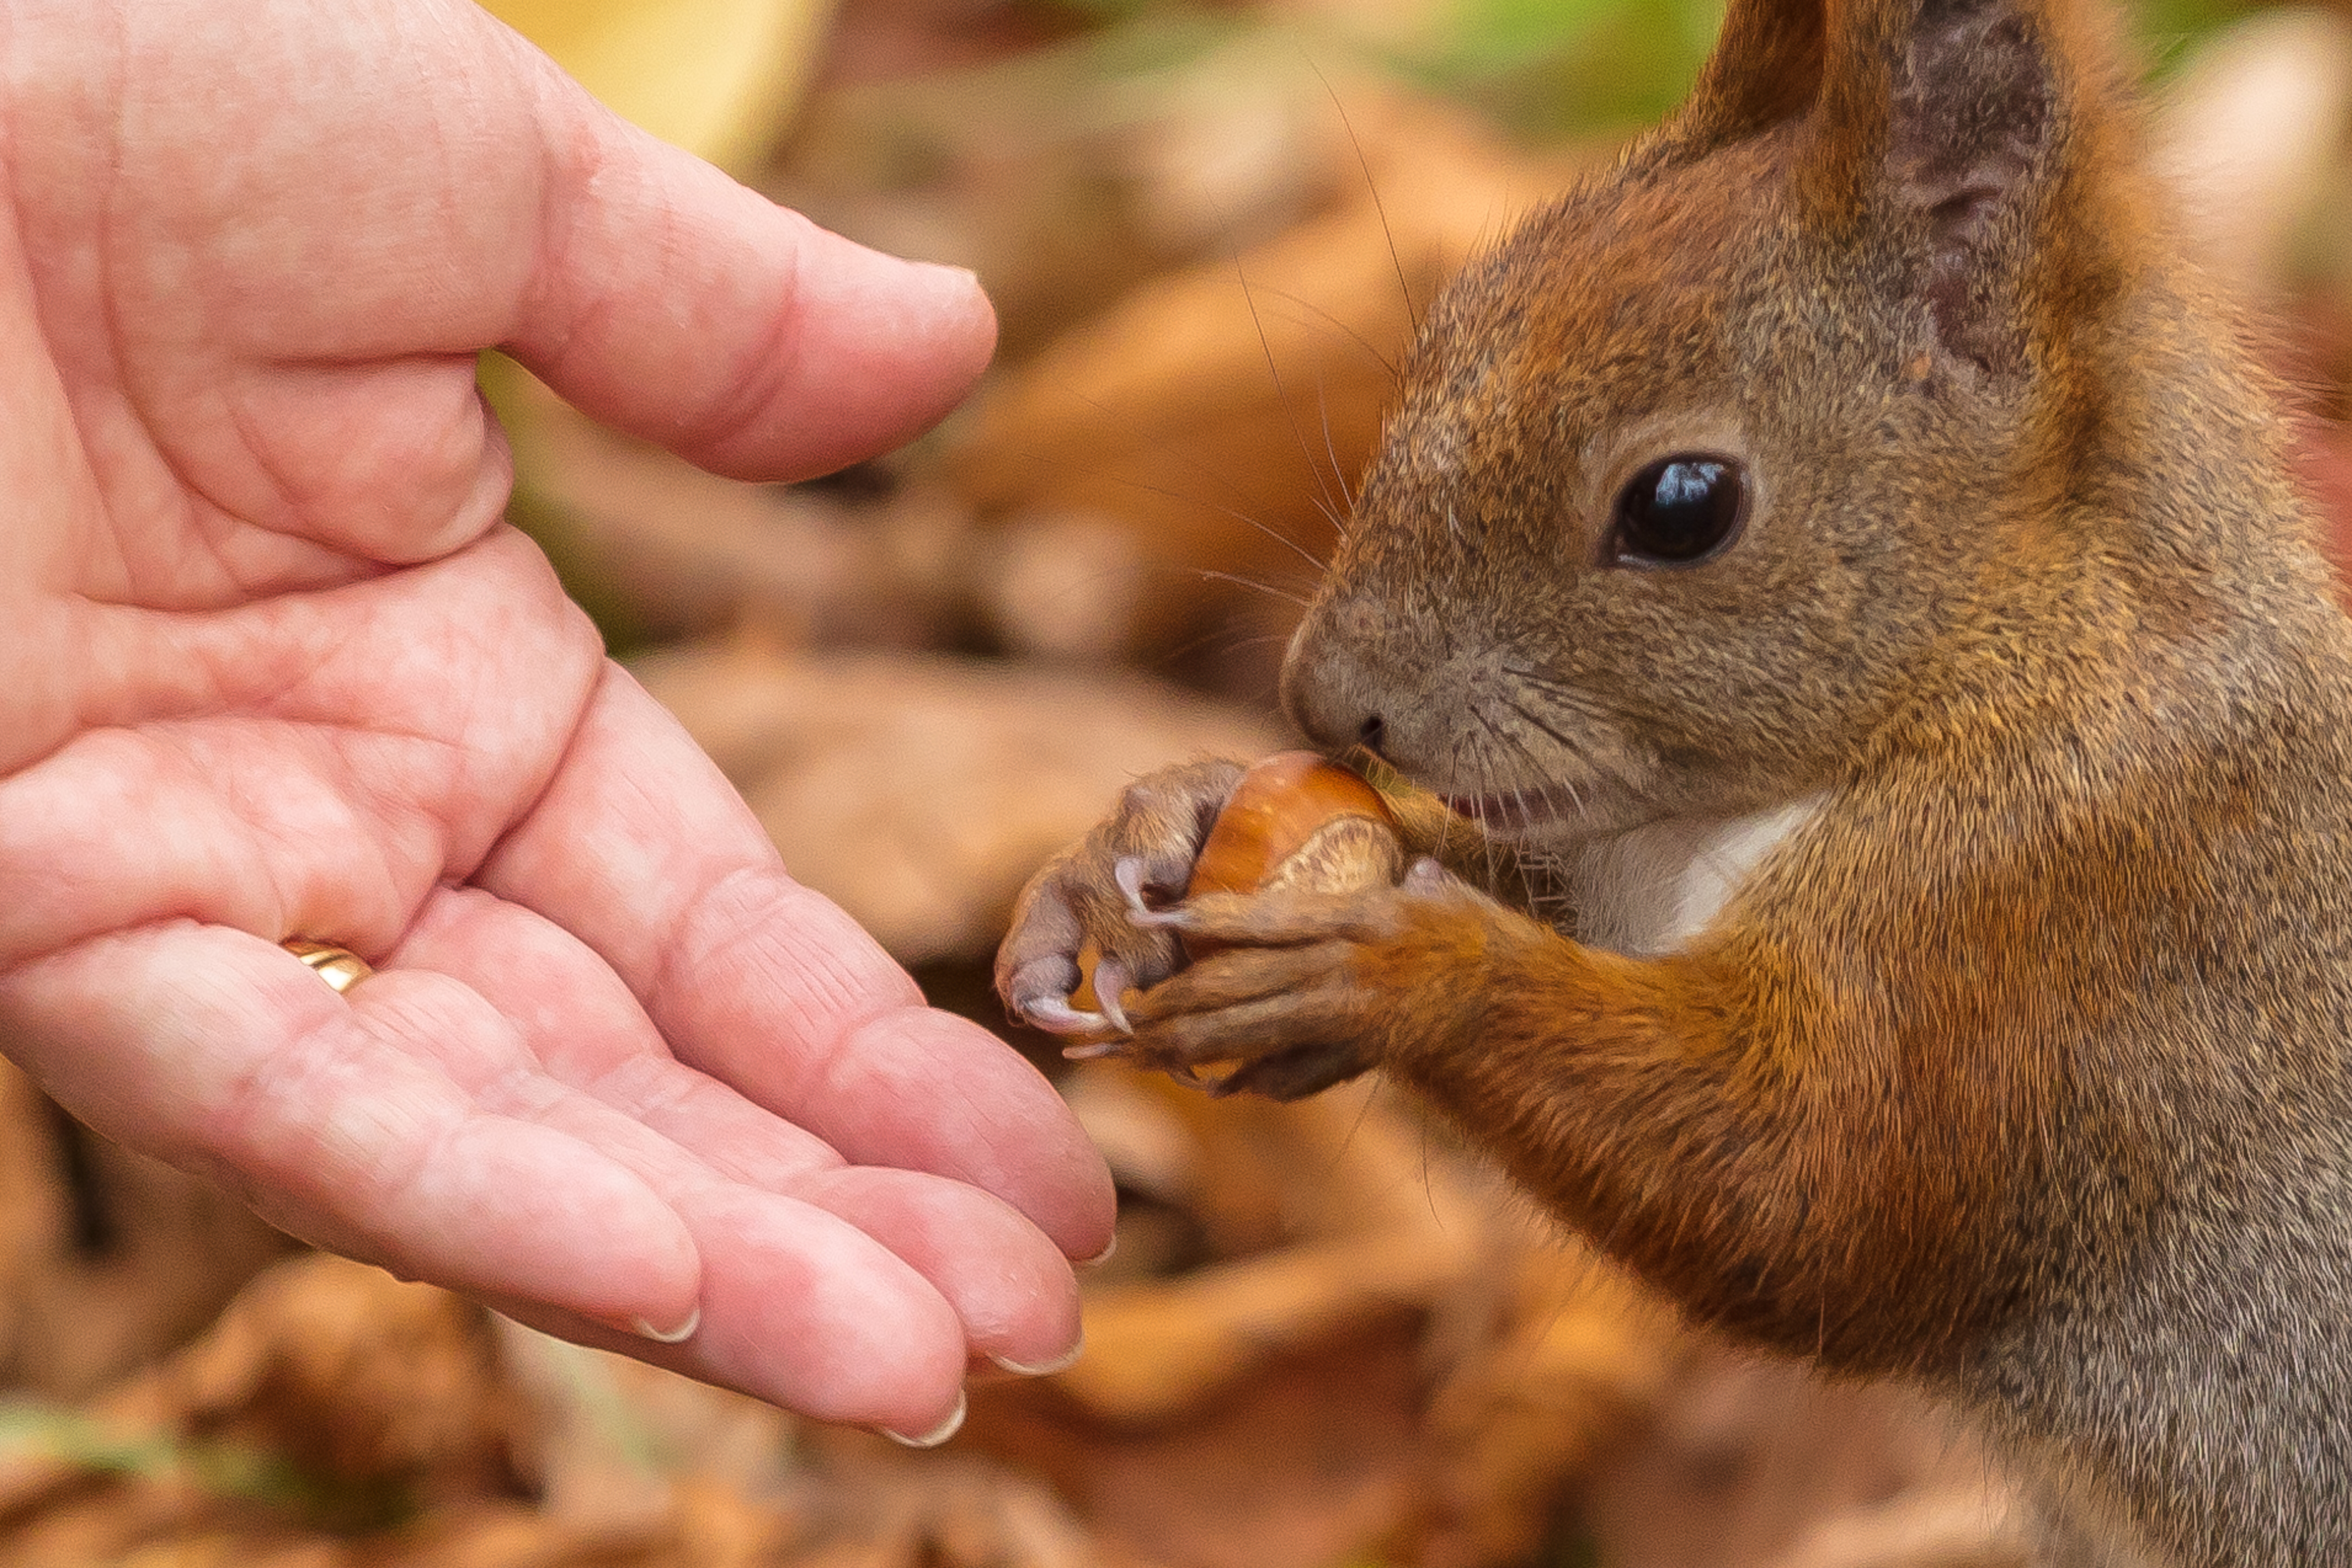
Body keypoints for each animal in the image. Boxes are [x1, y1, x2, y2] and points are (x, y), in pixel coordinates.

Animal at [996, 0, 2352, 1561]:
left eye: (1682, 506)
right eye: (1460, 314)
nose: (1327, 700)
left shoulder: (2064, 919)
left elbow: (1805, 1195)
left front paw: (1393, 970)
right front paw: (1149, 836)